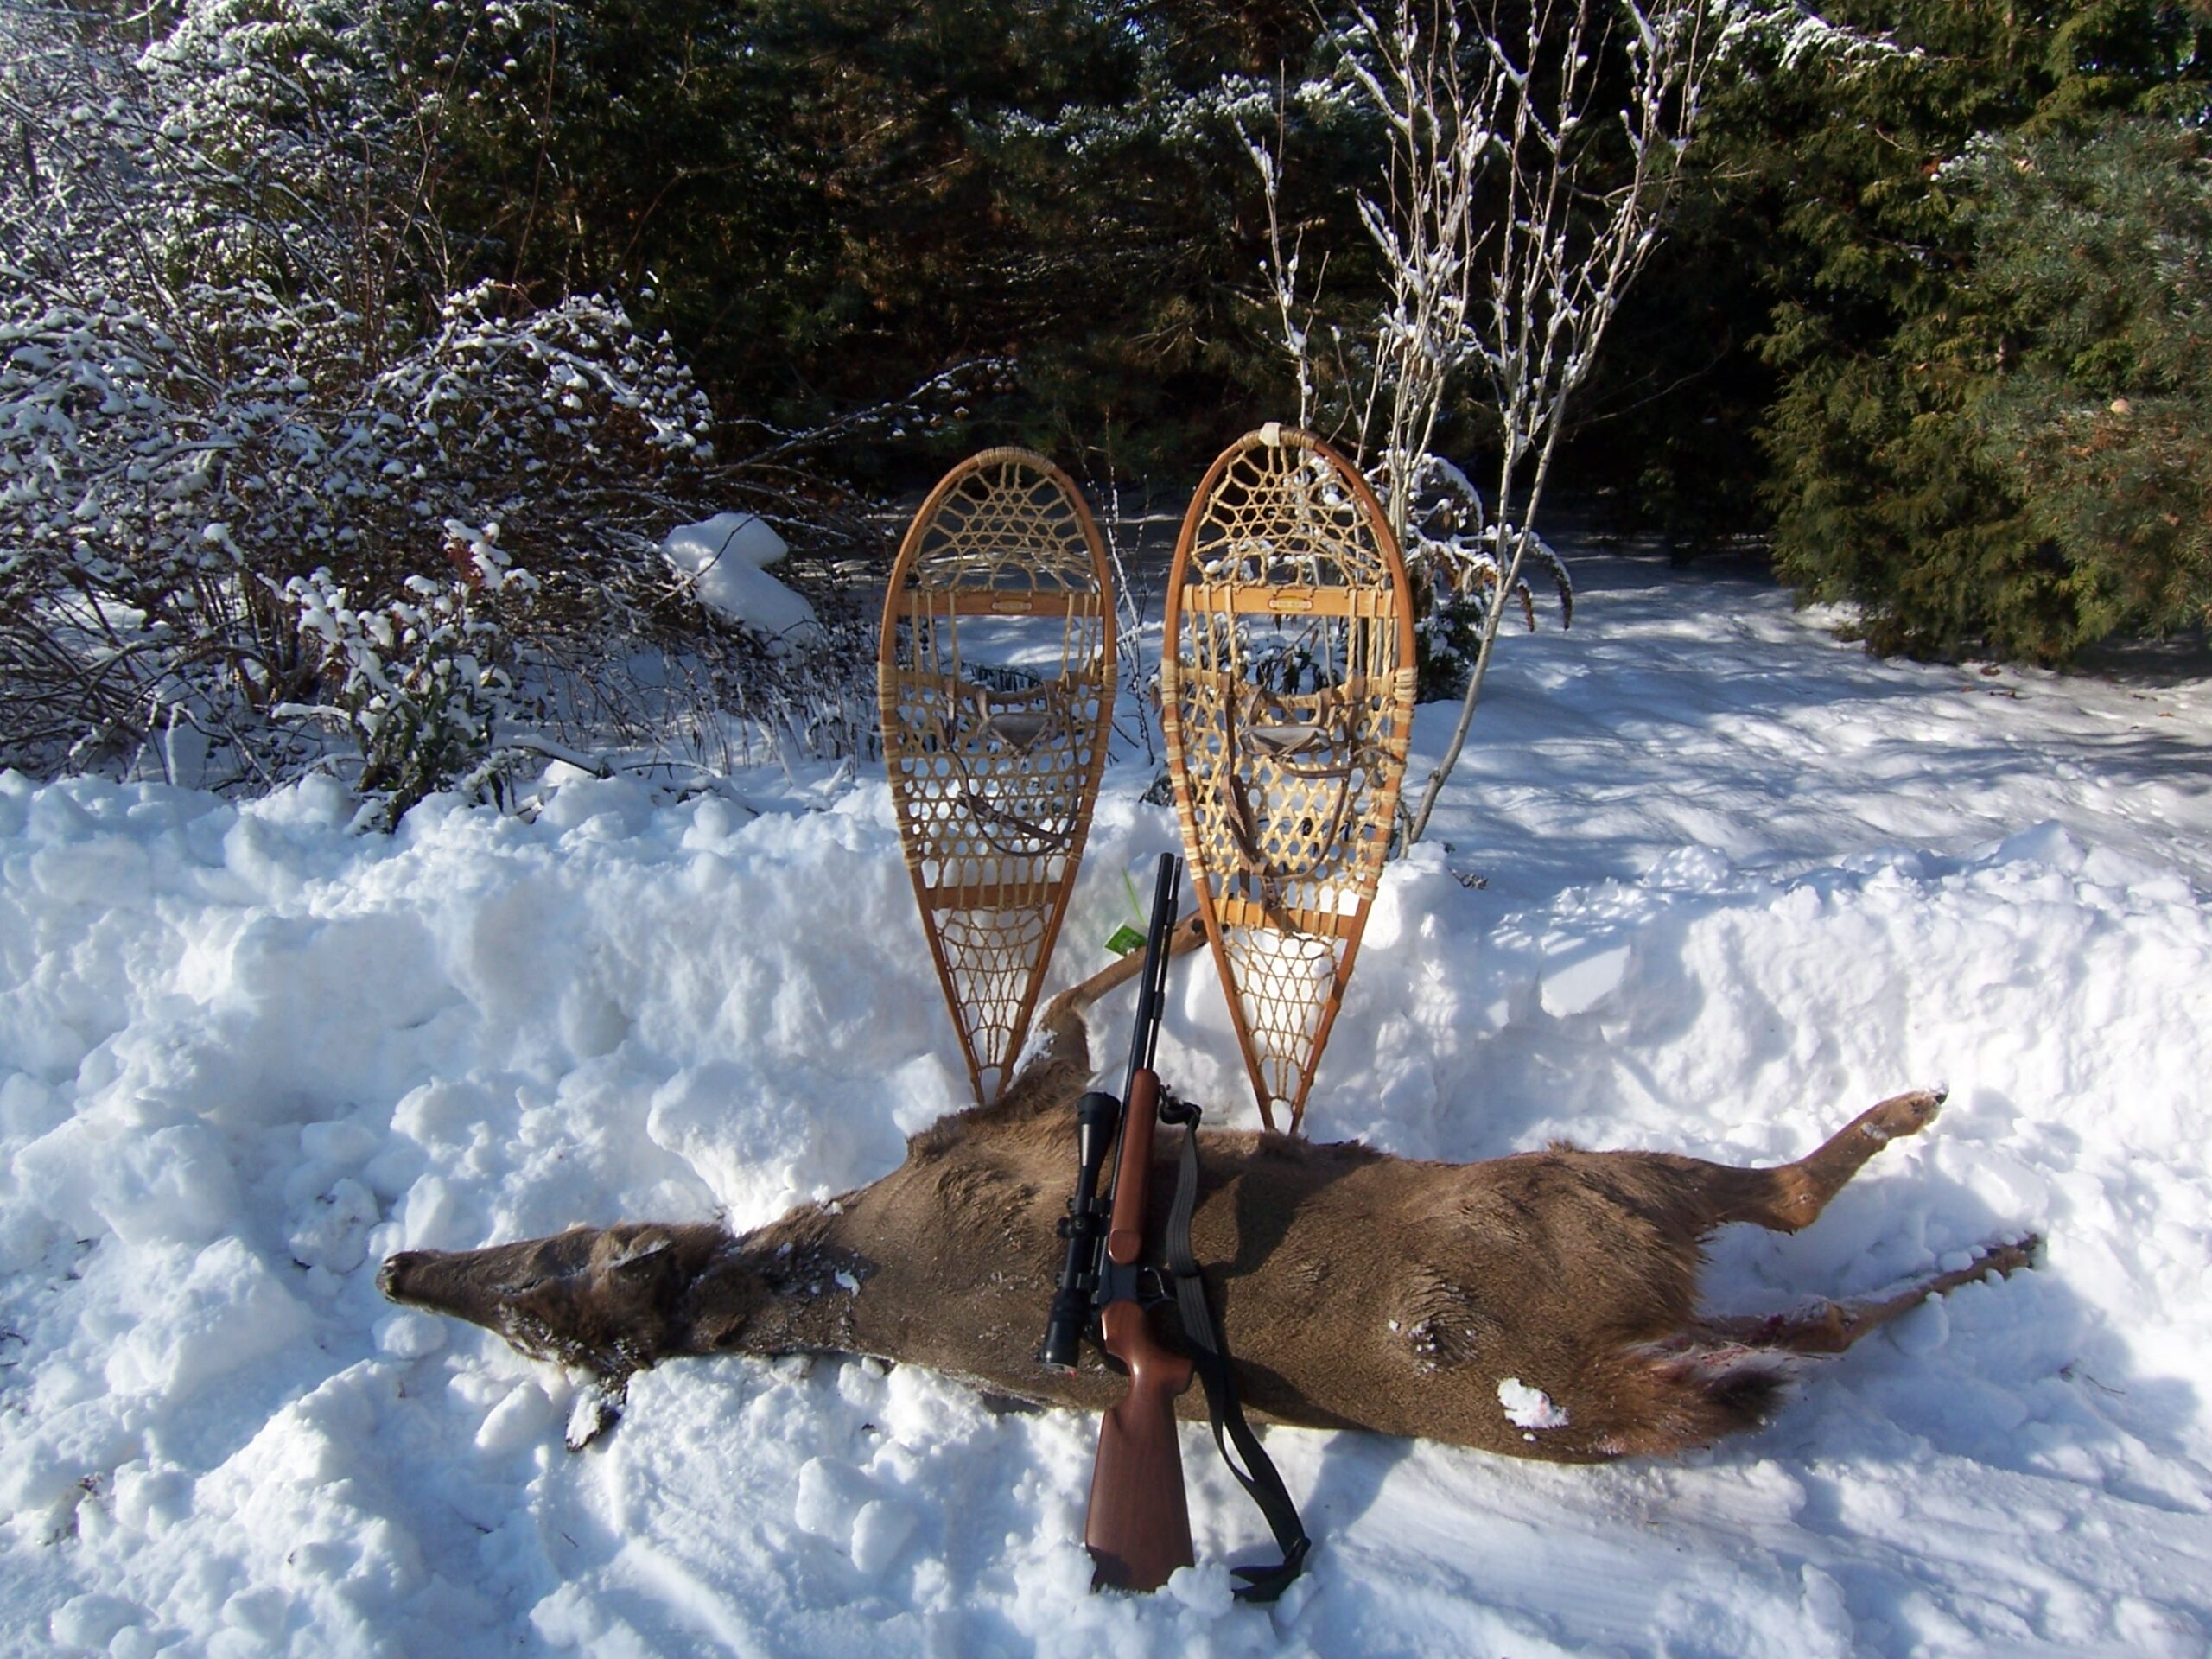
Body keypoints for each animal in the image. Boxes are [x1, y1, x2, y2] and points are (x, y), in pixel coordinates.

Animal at [379, 915, 2035, 1464]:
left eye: (543, 1277)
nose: (400, 1266)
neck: (821, 1258)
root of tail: (1600, 1375)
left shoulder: (1005, 1115)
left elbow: (1084, 989)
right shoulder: (1015, 1111)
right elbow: (1077, 1006)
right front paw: (1184, 916)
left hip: (1626, 1290)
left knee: (1805, 1322)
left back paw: (1987, 1252)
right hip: (1580, 1200)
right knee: (1796, 1233)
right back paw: (1940, 1148)